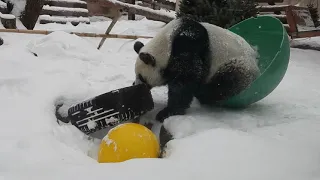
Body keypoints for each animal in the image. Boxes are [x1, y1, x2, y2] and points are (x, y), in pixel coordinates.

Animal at [132, 16, 260, 123]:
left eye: (142, 77)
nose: (137, 86)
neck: (167, 44)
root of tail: (256, 62)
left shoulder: (186, 50)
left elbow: (184, 83)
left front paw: (166, 113)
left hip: (237, 65)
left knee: (224, 83)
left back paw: (206, 94)